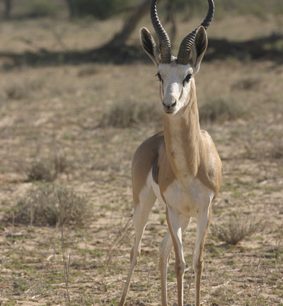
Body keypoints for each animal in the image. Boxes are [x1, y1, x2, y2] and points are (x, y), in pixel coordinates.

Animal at [119, 1, 222, 304]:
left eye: (188, 75)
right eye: (159, 74)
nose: (170, 104)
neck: (189, 168)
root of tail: (151, 141)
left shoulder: (204, 211)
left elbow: (197, 262)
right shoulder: (172, 210)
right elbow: (180, 263)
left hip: (185, 217)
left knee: (162, 251)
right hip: (144, 203)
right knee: (137, 251)